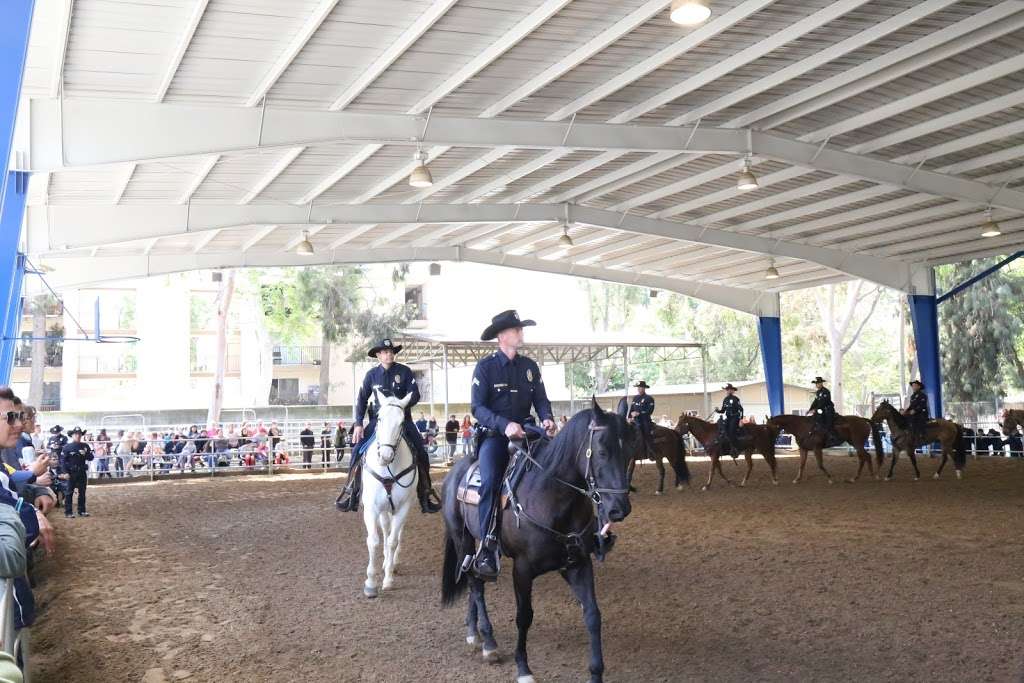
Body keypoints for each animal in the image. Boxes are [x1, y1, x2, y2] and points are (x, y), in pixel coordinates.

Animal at [360, 389, 415, 598]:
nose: (385, 456)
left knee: (396, 533)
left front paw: (388, 579)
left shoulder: (403, 507)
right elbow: (374, 541)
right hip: (383, 509)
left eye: (401, 423)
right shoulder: (371, 508)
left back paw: (392, 562)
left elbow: (392, 540)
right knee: (385, 528)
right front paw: (370, 583)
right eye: (380, 418)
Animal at [440, 401, 630, 683]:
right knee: (476, 584)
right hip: (462, 537)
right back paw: (488, 642)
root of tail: (455, 472)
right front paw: (523, 669)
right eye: (602, 451)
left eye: (629, 450)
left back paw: (473, 631)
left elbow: (593, 614)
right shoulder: (523, 569)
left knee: (472, 582)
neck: (551, 496)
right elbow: (524, 616)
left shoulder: (578, 564)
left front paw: (596, 673)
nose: (619, 509)